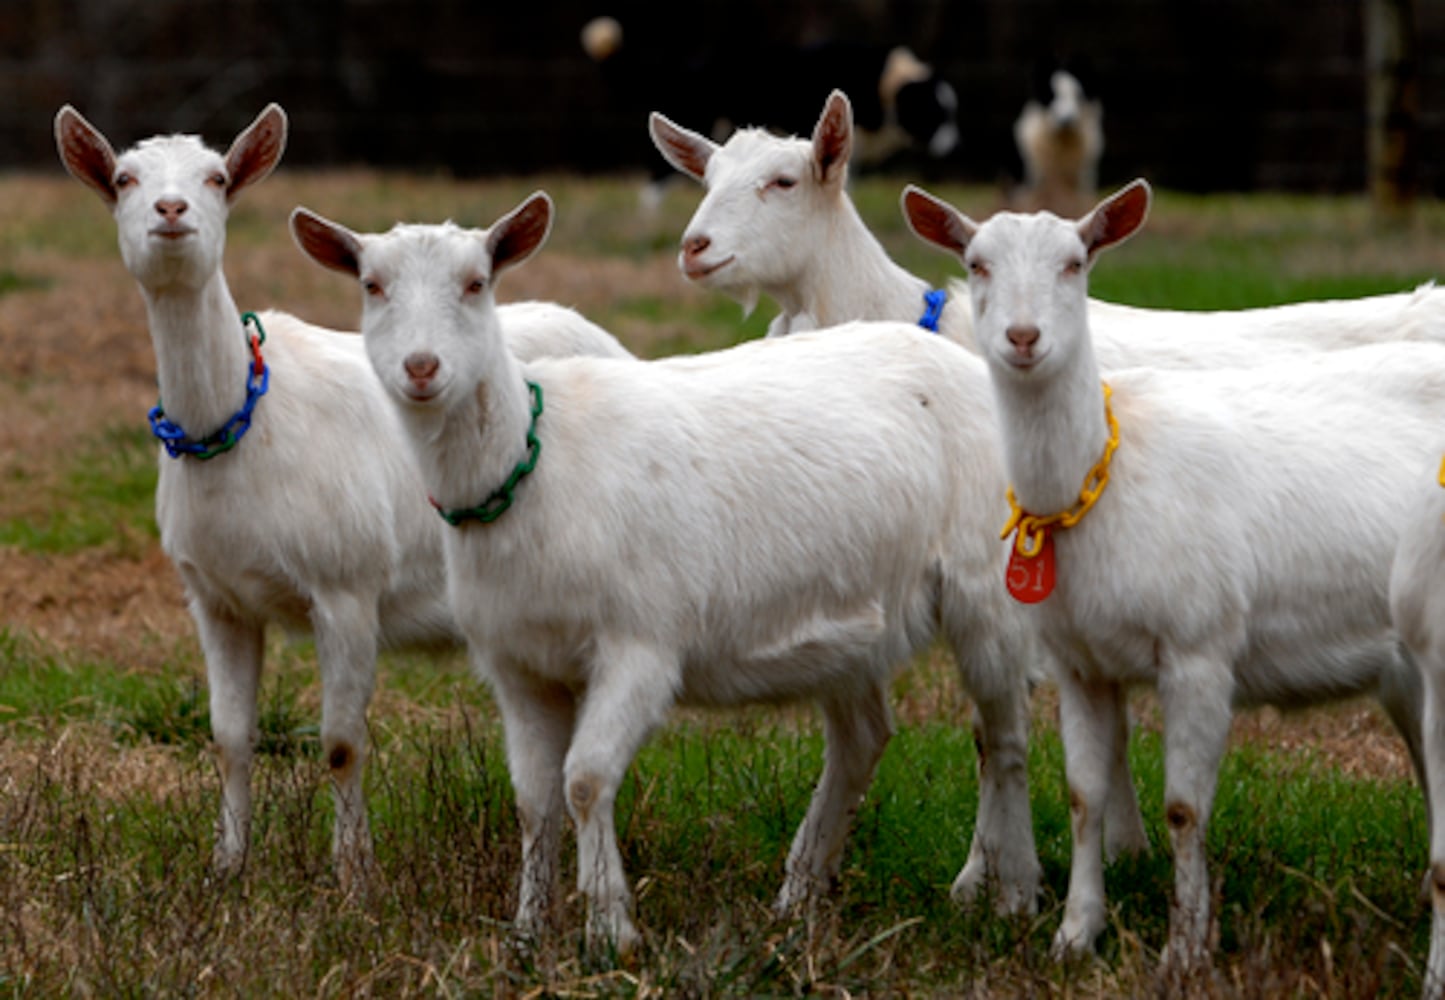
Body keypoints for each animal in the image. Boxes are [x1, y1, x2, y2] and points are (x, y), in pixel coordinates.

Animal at [53, 101, 630, 884]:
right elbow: (228, 735)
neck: (243, 426)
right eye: (124, 178)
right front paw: (226, 866)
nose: (171, 212)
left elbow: (340, 742)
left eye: (217, 177)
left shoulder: (346, 586)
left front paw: (354, 875)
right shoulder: (216, 598)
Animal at [287, 193, 1046, 953]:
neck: (533, 465)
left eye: (477, 283)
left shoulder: (641, 642)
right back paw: (798, 894)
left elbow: (585, 779)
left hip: (988, 587)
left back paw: (1009, 894)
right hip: (852, 619)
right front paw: (528, 932)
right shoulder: (518, 664)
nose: (421, 368)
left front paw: (611, 928)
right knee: (864, 737)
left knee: (1003, 737)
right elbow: (533, 798)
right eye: (371, 286)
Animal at [901, 177, 1445, 976]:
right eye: (977, 263)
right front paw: (1075, 935)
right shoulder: (1079, 663)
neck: (1102, 481)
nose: (1024, 339)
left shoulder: (1199, 648)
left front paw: (1184, 952)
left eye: (1075, 262)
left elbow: (1184, 809)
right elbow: (1083, 794)